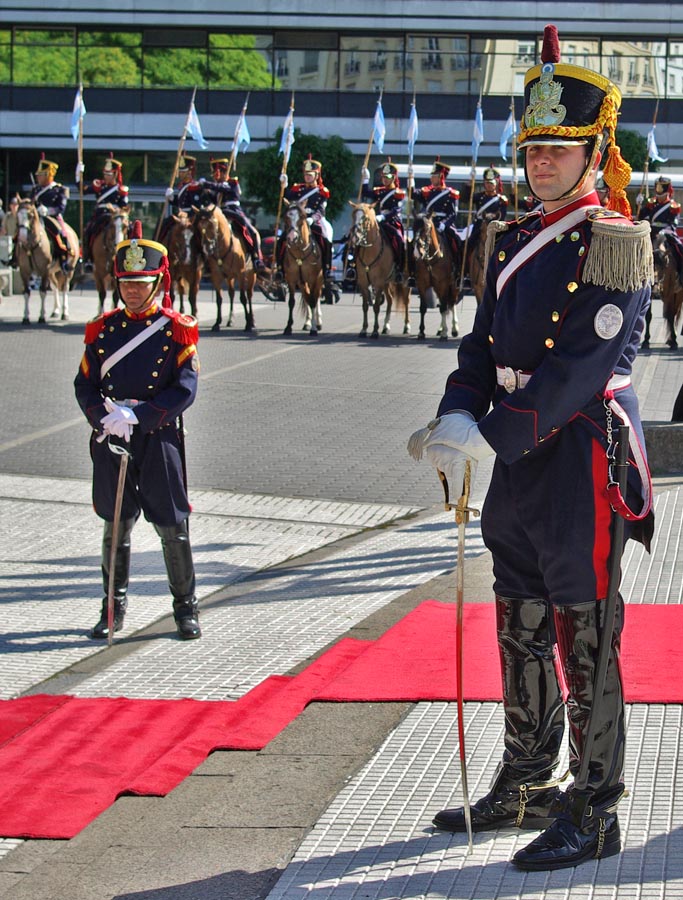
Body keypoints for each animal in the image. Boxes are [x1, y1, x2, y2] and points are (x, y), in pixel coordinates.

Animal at [194, 199, 255, 332]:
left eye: (211, 224)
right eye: (199, 226)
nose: (207, 248)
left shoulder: (241, 274)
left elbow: (243, 298)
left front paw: (248, 324)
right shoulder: (216, 276)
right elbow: (219, 299)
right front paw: (217, 323)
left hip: (251, 275)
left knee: (249, 295)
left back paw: (252, 321)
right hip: (229, 277)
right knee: (231, 294)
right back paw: (230, 320)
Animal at [350, 202, 408, 340]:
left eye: (365, 218)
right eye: (353, 215)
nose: (354, 237)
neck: (370, 251)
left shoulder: (378, 282)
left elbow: (376, 306)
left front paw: (375, 331)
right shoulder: (364, 283)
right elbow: (365, 306)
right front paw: (364, 329)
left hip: (404, 282)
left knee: (406, 302)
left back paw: (406, 326)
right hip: (387, 282)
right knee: (390, 300)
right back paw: (386, 326)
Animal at [414, 213, 462, 342]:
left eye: (427, 228)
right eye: (413, 227)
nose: (417, 251)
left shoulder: (443, 284)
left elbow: (444, 308)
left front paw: (445, 334)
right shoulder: (421, 284)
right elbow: (423, 308)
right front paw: (421, 332)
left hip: (453, 286)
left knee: (452, 303)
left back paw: (454, 329)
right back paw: (441, 329)